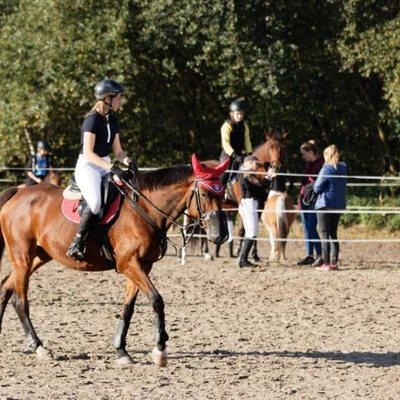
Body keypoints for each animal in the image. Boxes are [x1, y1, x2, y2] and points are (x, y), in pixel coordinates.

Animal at [0, 155, 230, 368]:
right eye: (204, 194)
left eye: (222, 194)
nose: (221, 235)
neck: (145, 209)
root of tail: (18, 193)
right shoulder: (129, 264)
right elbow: (156, 300)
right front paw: (160, 350)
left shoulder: (141, 265)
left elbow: (128, 307)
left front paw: (121, 350)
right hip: (23, 257)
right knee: (20, 301)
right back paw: (39, 347)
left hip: (38, 257)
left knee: (5, 288)